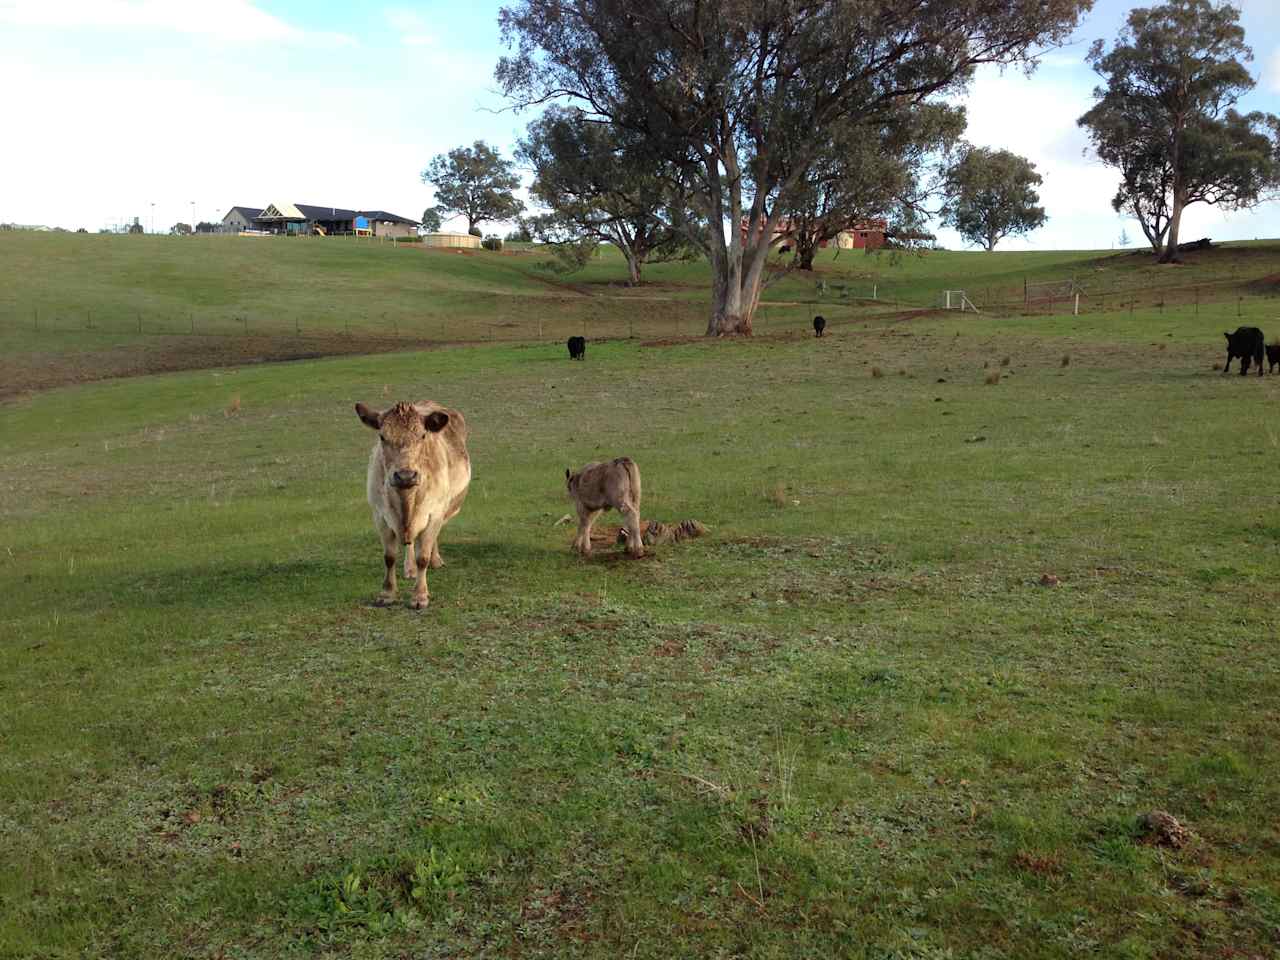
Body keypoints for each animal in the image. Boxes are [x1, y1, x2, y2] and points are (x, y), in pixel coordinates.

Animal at [355, 401, 471, 611]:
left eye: (423, 435)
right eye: (382, 436)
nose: (405, 476)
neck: (406, 501)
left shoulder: (434, 514)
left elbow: (422, 556)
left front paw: (420, 596)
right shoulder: (380, 516)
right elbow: (389, 557)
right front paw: (387, 594)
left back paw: (435, 560)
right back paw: (410, 569)